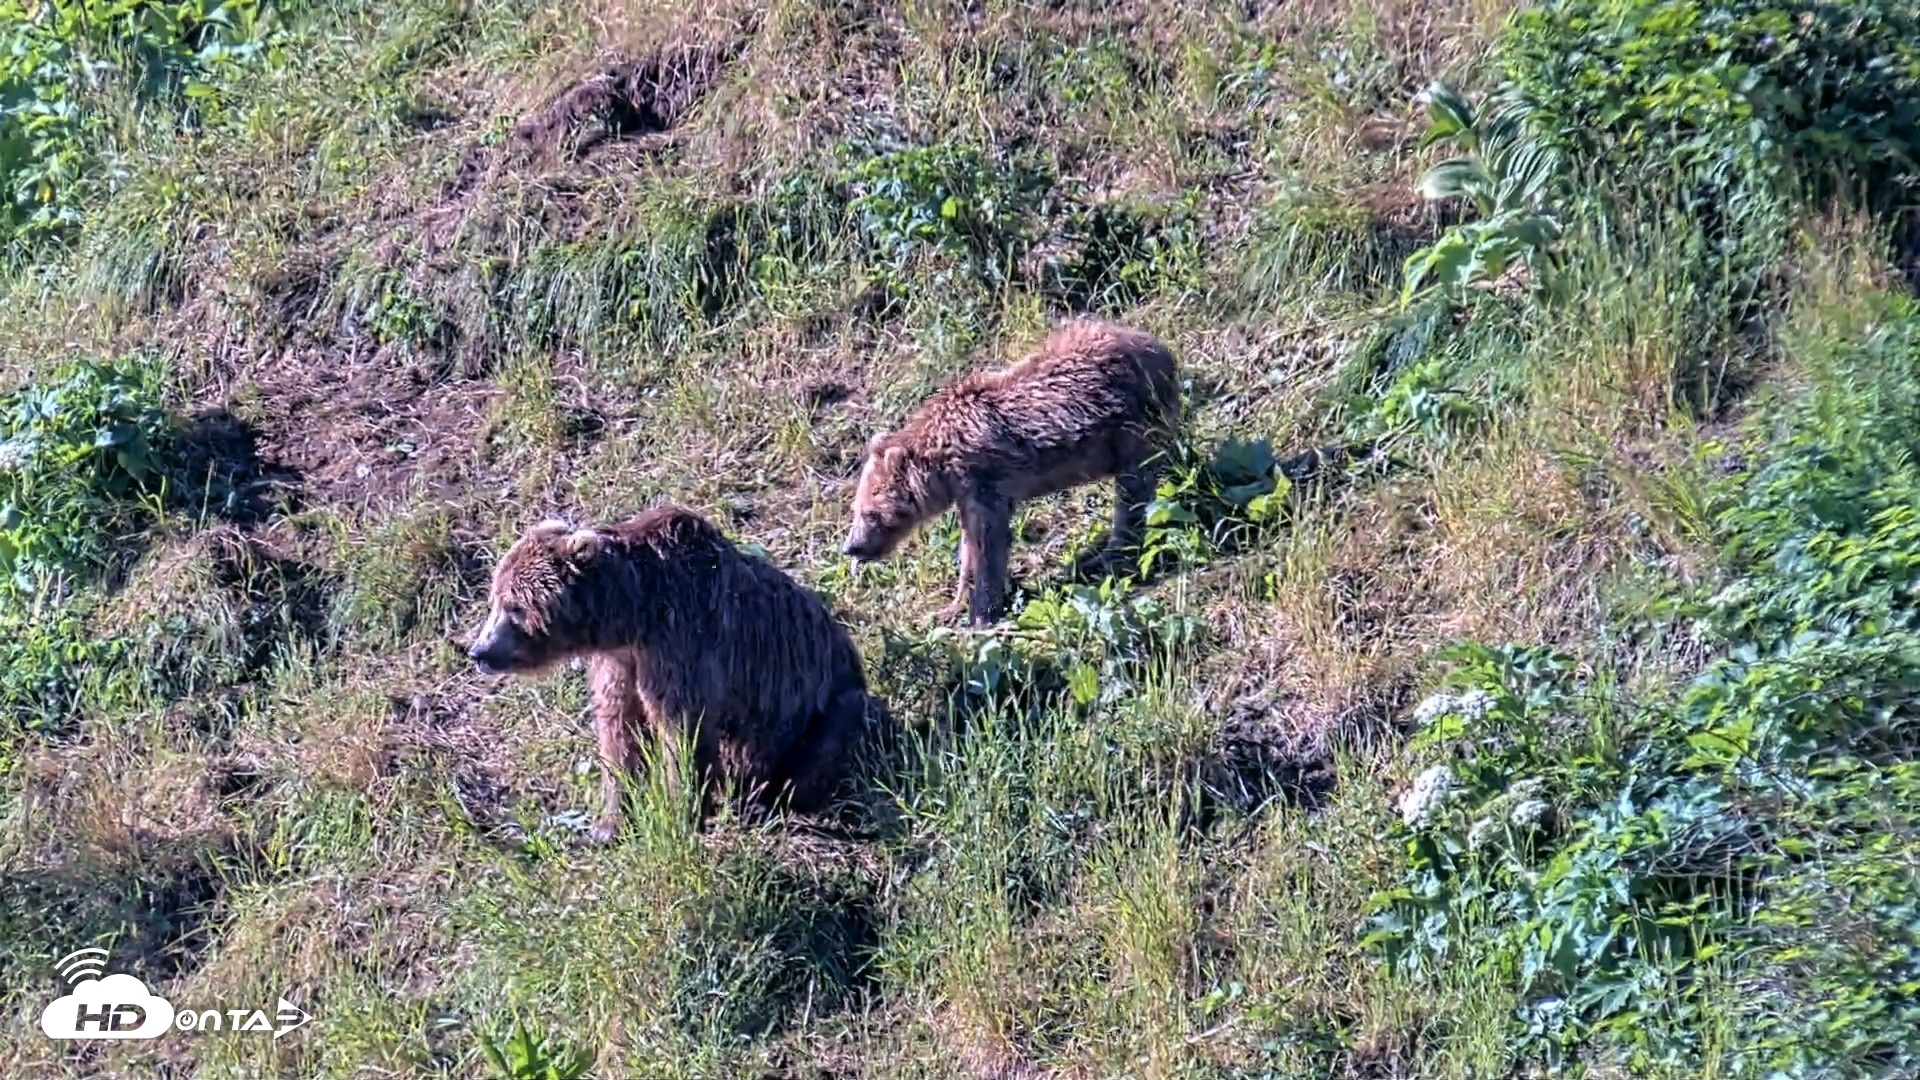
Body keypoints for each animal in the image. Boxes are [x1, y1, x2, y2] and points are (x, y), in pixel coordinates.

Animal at [465, 505, 882, 842]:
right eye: (494, 600)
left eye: (515, 607)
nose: (479, 651)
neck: (632, 614)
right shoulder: (620, 662)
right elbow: (619, 730)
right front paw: (608, 825)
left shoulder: (683, 642)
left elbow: (683, 728)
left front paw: (681, 813)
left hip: (822, 704)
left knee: (837, 726)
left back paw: (773, 800)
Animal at [841, 317, 1182, 627]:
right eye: (856, 510)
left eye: (870, 513)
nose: (850, 547)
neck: (943, 466)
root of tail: (1158, 346)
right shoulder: (966, 493)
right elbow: (969, 545)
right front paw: (951, 606)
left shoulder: (983, 479)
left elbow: (989, 542)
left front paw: (982, 614)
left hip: (1131, 418)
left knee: (1133, 488)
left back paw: (1109, 553)